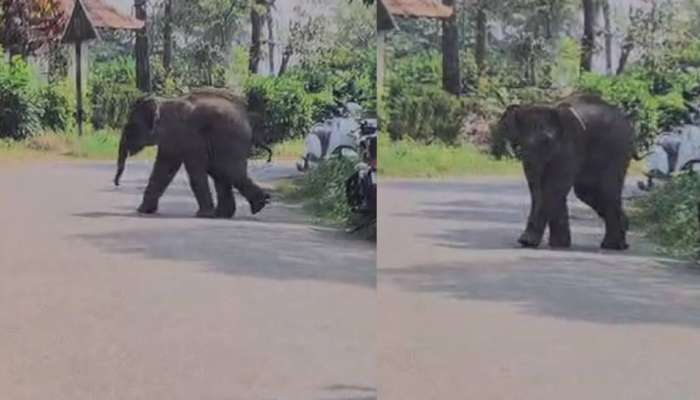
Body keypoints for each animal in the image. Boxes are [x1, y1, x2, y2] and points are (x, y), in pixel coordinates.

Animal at [117, 89, 270, 219]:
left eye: (130, 127)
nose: (117, 183)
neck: (162, 102)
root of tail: (246, 115)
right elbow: (165, 169)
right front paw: (143, 211)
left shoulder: (183, 134)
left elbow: (184, 169)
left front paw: (203, 215)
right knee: (220, 172)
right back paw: (227, 213)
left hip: (231, 139)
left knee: (228, 170)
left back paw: (257, 205)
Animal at [498, 94, 636, 250]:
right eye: (521, 143)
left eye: (547, 141)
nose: (524, 241)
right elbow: (543, 187)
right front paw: (558, 245)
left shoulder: (571, 143)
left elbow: (554, 186)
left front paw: (527, 242)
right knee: (587, 191)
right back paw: (621, 237)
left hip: (618, 149)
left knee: (605, 189)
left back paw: (613, 244)